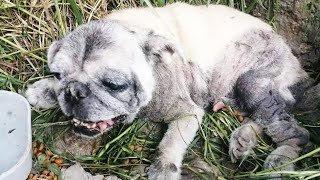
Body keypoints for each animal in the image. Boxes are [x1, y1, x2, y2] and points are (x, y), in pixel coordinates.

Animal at [26, 2, 312, 179]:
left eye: (114, 85)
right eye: (58, 74)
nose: (74, 92)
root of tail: (296, 64)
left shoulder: (188, 112)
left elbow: (170, 143)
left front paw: (163, 168)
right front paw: (46, 91)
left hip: (252, 83)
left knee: (295, 131)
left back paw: (281, 162)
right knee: (267, 117)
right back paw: (244, 140)